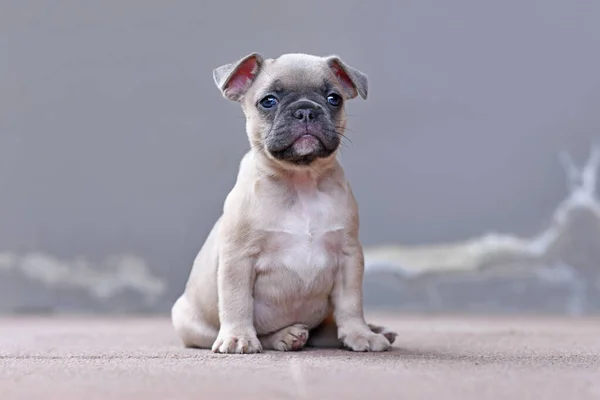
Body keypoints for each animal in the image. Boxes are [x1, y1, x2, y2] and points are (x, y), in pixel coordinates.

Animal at [172, 52, 398, 354]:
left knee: (327, 328)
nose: (305, 110)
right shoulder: (238, 258)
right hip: (190, 324)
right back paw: (285, 336)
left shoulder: (349, 256)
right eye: (268, 101)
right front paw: (238, 337)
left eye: (334, 98)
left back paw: (375, 330)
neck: (300, 181)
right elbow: (237, 301)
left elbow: (351, 303)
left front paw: (360, 333)